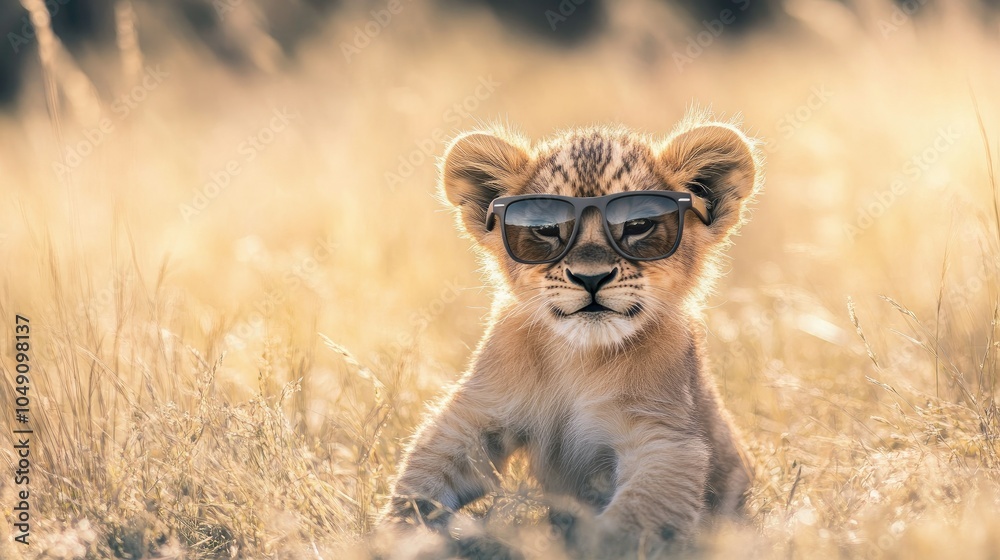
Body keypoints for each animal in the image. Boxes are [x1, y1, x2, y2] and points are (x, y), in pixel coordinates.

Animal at [378, 113, 761, 557]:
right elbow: (421, 484)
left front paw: (599, 546)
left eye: (638, 225)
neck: (580, 358)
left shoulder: (667, 440)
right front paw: (395, 539)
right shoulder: (476, 416)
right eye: (545, 229)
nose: (590, 278)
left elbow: (637, 518)